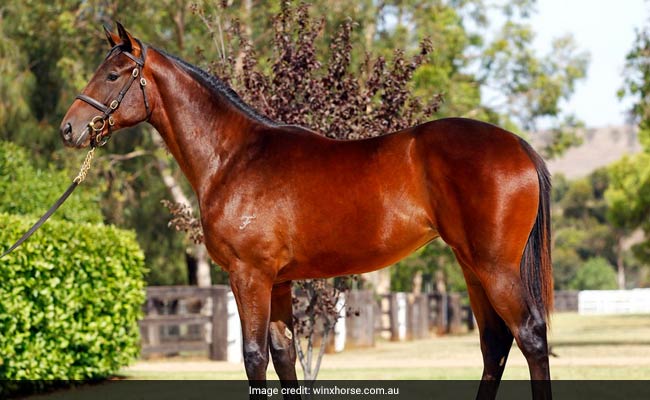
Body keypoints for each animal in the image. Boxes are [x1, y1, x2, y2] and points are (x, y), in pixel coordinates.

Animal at [60, 23, 552, 400]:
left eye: (113, 74)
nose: (69, 129)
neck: (234, 156)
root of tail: (517, 145)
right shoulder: (278, 282)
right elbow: (284, 357)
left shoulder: (249, 276)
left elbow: (254, 358)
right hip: (471, 266)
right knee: (495, 343)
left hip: (494, 267)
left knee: (530, 335)